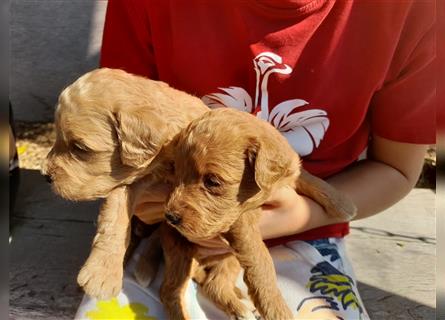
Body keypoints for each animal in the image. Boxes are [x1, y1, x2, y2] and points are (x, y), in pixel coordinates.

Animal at [164, 108, 358, 320]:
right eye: (175, 173)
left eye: (212, 181)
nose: (170, 217)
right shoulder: (239, 219)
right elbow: (261, 258)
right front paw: (276, 309)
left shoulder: (291, 171)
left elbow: (311, 178)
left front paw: (344, 205)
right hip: (181, 252)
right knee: (171, 291)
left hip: (229, 258)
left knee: (213, 283)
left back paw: (239, 302)